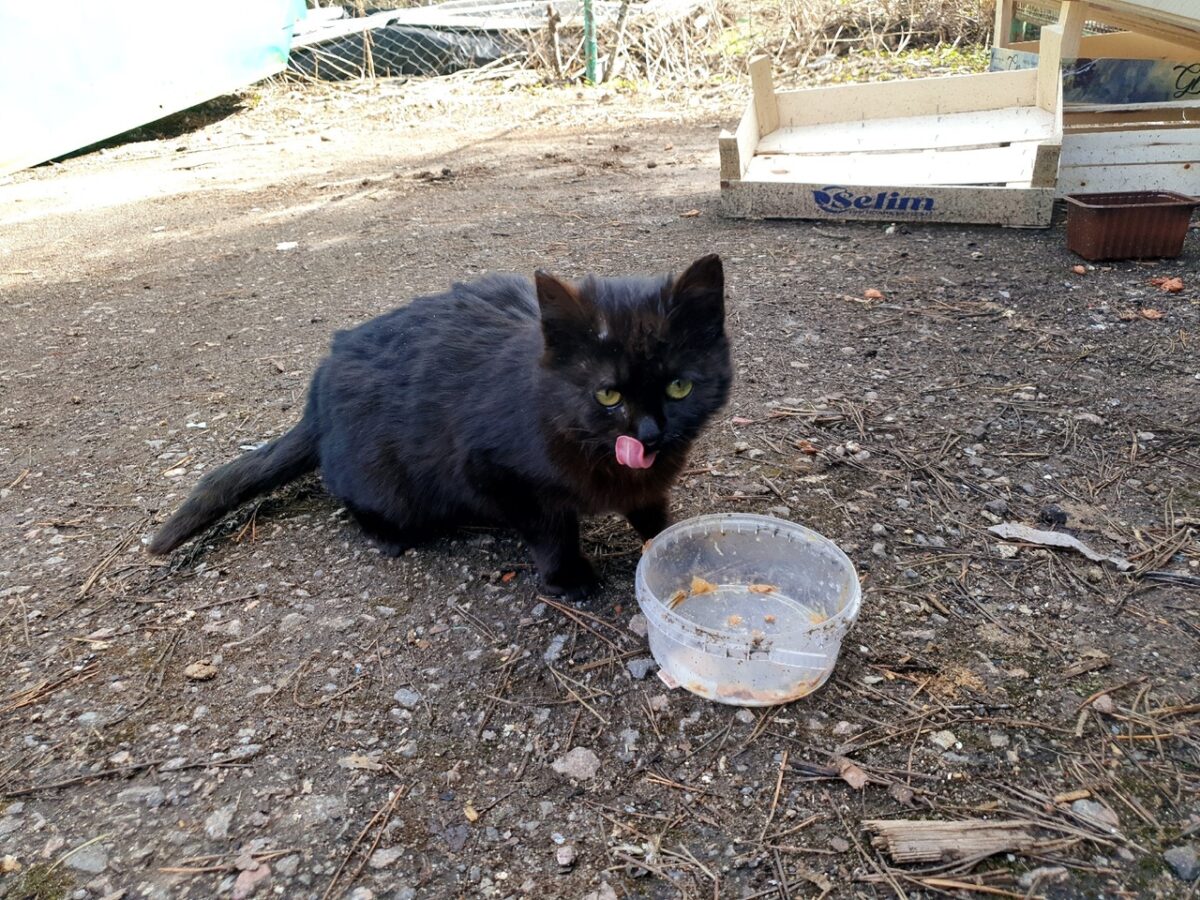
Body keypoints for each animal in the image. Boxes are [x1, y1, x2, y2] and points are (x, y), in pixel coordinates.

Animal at [150, 254, 729, 602]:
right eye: (608, 395)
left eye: (680, 387)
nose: (650, 433)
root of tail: (315, 394)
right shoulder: (493, 473)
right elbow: (550, 530)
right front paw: (569, 576)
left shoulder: (646, 482)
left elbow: (652, 509)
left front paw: (674, 542)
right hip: (388, 486)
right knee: (351, 501)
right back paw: (387, 535)